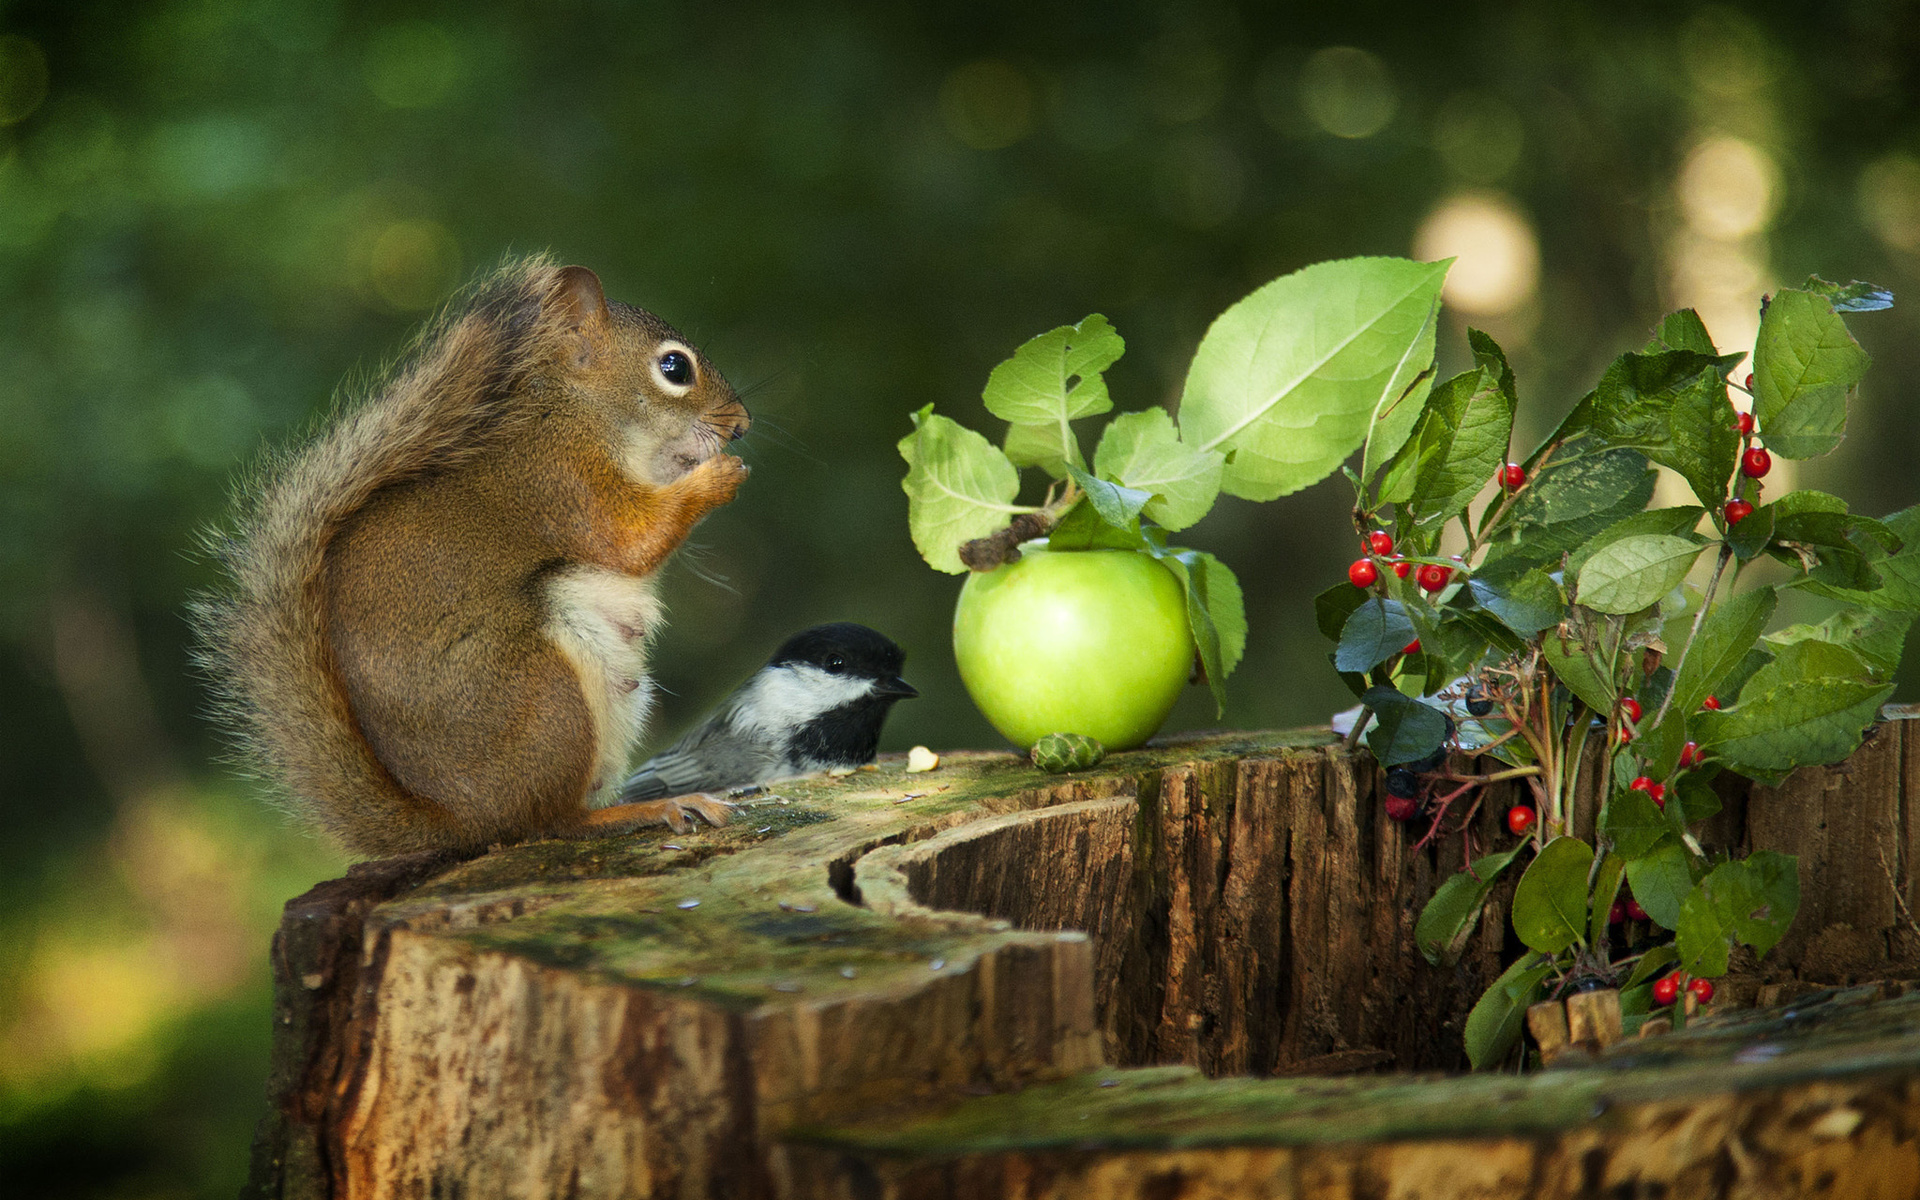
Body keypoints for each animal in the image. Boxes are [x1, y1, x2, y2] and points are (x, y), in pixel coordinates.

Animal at [196, 257, 748, 856]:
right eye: (674, 367)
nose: (741, 424)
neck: (580, 411)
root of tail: (463, 819)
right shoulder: (560, 480)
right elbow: (630, 539)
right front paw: (717, 477)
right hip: (542, 696)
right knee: (548, 821)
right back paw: (643, 810)